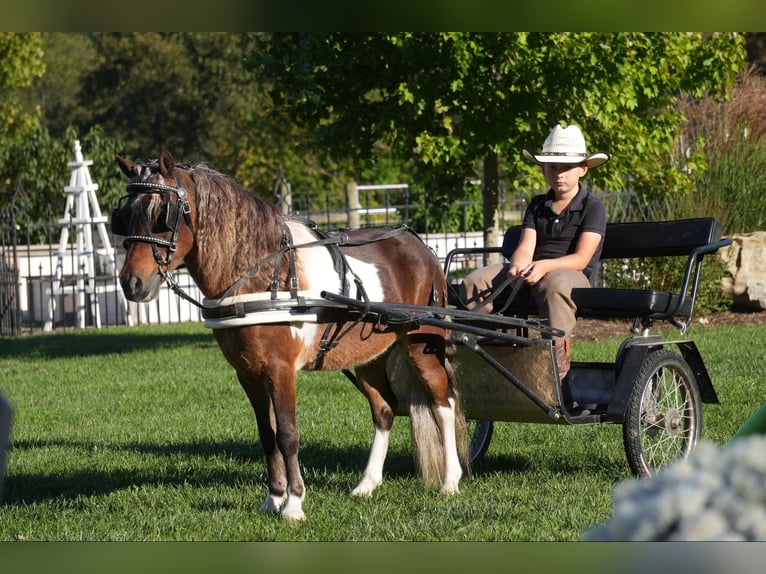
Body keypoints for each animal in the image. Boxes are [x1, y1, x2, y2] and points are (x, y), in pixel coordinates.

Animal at [112, 151, 468, 524]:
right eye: (124, 216)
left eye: (162, 216)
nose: (132, 283)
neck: (264, 274)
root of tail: (420, 246)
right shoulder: (248, 374)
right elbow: (267, 435)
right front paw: (273, 498)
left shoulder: (280, 370)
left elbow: (287, 434)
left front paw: (294, 504)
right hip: (370, 356)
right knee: (384, 410)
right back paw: (367, 484)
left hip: (422, 346)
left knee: (444, 405)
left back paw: (450, 481)